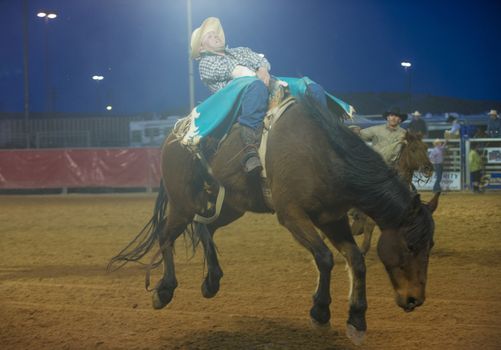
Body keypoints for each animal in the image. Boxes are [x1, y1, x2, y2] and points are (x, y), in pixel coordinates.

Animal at [108, 97, 438, 346]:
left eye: (430, 246)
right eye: (410, 245)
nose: (415, 299)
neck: (322, 155)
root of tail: (175, 134)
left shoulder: (332, 218)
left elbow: (355, 259)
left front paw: (356, 320)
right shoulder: (291, 214)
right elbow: (324, 257)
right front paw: (320, 311)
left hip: (231, 206)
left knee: (206, 227)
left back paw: (212, 280)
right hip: (183, 204)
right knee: (166, 235)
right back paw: (164, 290)